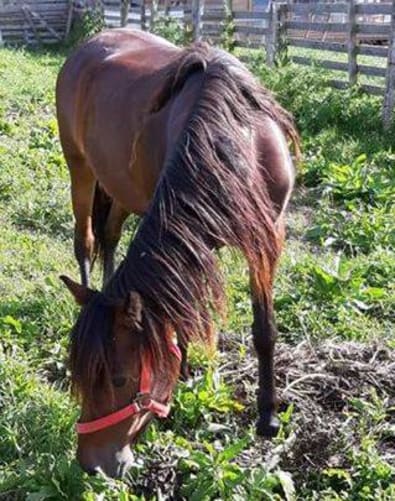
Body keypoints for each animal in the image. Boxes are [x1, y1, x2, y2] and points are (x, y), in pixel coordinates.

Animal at [55, 28, 296, 476]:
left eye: (119, 380)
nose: (92, 466)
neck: (238, 146)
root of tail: (91, 44)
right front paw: (182, 371)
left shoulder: (265, 238)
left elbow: (264, 330)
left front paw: (268, 417)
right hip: (79, 167)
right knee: (86, 241)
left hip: (118, 187)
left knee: (109, 238)